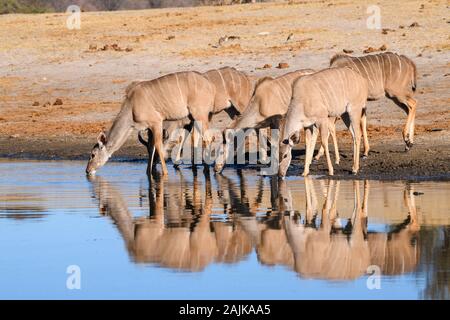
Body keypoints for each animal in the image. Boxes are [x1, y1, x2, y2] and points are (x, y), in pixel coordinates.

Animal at [87, 70, 217, 175]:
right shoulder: (149, 127)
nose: (87, 170)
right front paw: (149, 173)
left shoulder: (156, 122)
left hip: (199, 115)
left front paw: (164, 173)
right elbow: (151, 146)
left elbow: (159, 146)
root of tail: (209, 85)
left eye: (93, 154)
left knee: (208, 137)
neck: (131, 107)